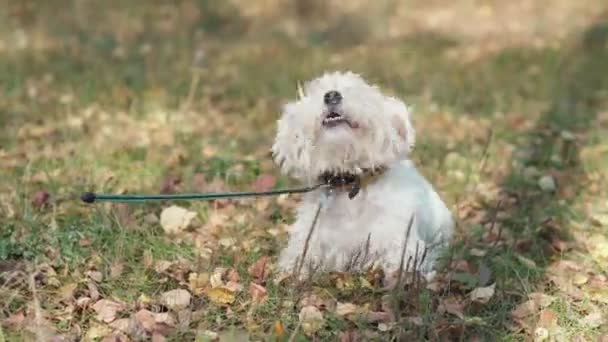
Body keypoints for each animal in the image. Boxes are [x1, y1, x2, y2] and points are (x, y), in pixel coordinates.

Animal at [270, 71, 452, 280]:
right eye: (316, 90)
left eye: (358, 90)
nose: (331, 95)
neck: (351, 184)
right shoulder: (312, 237)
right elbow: (300, 256)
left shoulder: (396, 240)